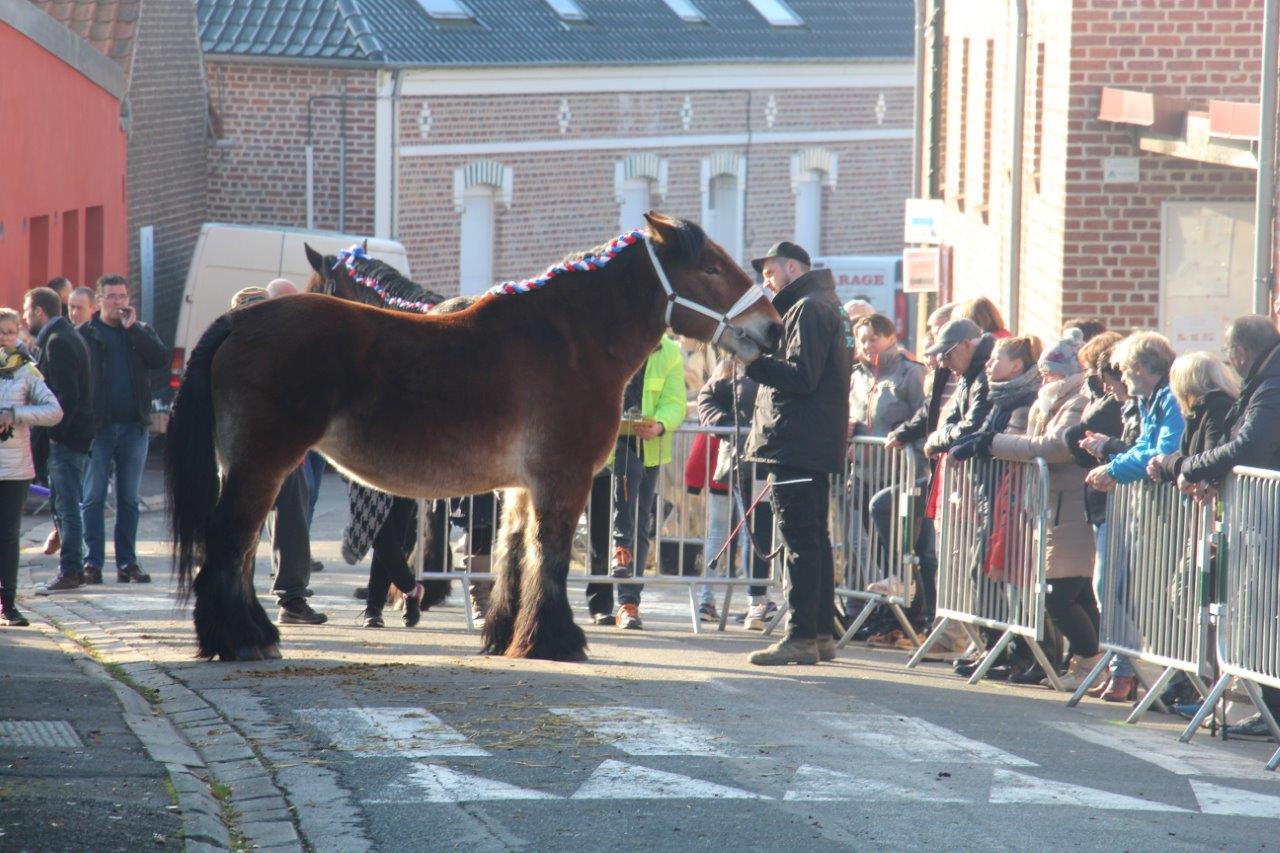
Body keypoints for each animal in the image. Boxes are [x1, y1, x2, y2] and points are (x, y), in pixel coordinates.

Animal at [165, 211, 783, 655]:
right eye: (709, 269)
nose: (773, 328)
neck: (569, 342)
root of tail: (240, 319)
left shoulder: (520, 486)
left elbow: (512, 555)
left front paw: (505, 633)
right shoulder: (564, 479)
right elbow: (549, 557)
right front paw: (554, 639)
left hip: (248, 464)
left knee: (241, 547)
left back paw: (251, 633)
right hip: (264, 462)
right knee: (232, 541)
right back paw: (240, 639)